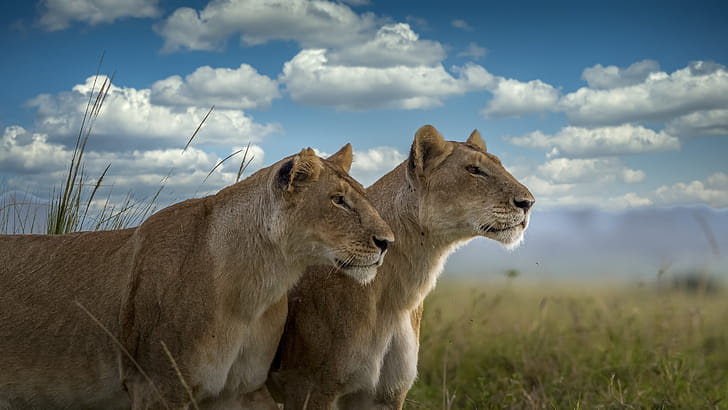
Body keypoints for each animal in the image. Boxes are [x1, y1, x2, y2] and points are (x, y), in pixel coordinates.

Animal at [0, 144, 394, 410]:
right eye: (338, 200)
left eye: (361, 195)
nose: (387, 242)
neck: (255, 290)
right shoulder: (158, 386)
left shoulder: (236, 392)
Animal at [271, 125, 535, 409]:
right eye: (474, 169)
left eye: (500, 164)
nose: (528, 202)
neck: (394, 299)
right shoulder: (310, 388)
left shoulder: (387, 394)